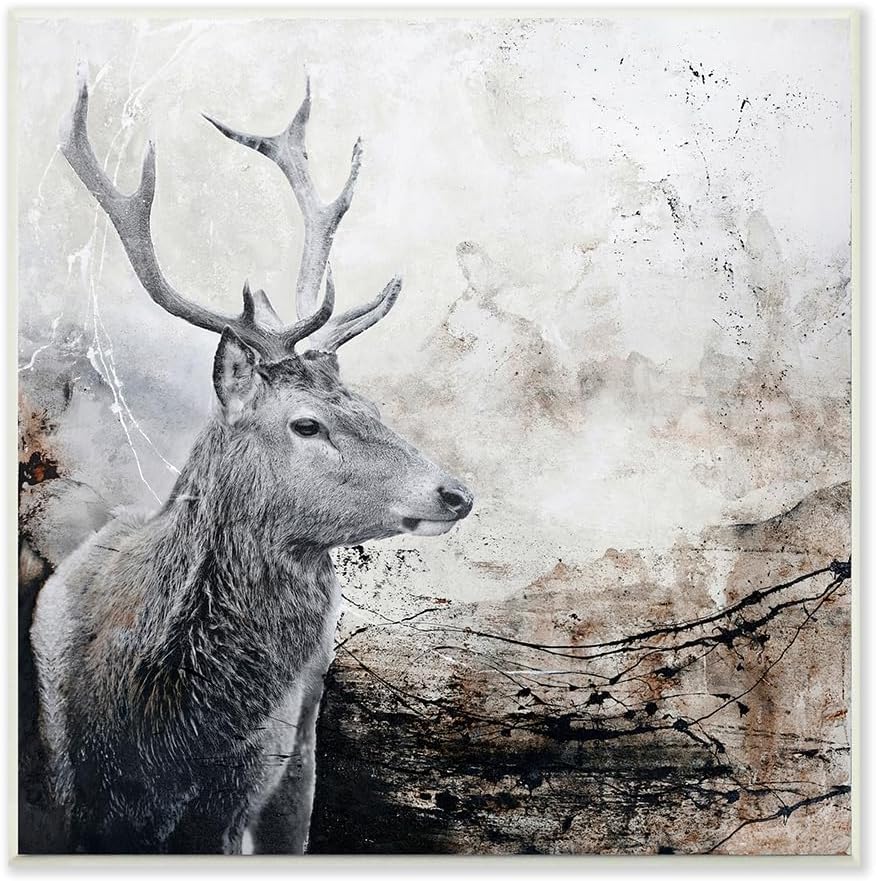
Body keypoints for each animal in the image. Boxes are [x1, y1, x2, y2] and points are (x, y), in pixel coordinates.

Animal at [29, 69, 474, 855]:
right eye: (307, 423)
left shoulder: (235, 794)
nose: (455, 492)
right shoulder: (71, 788)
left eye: (373, 406)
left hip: (297, 756)